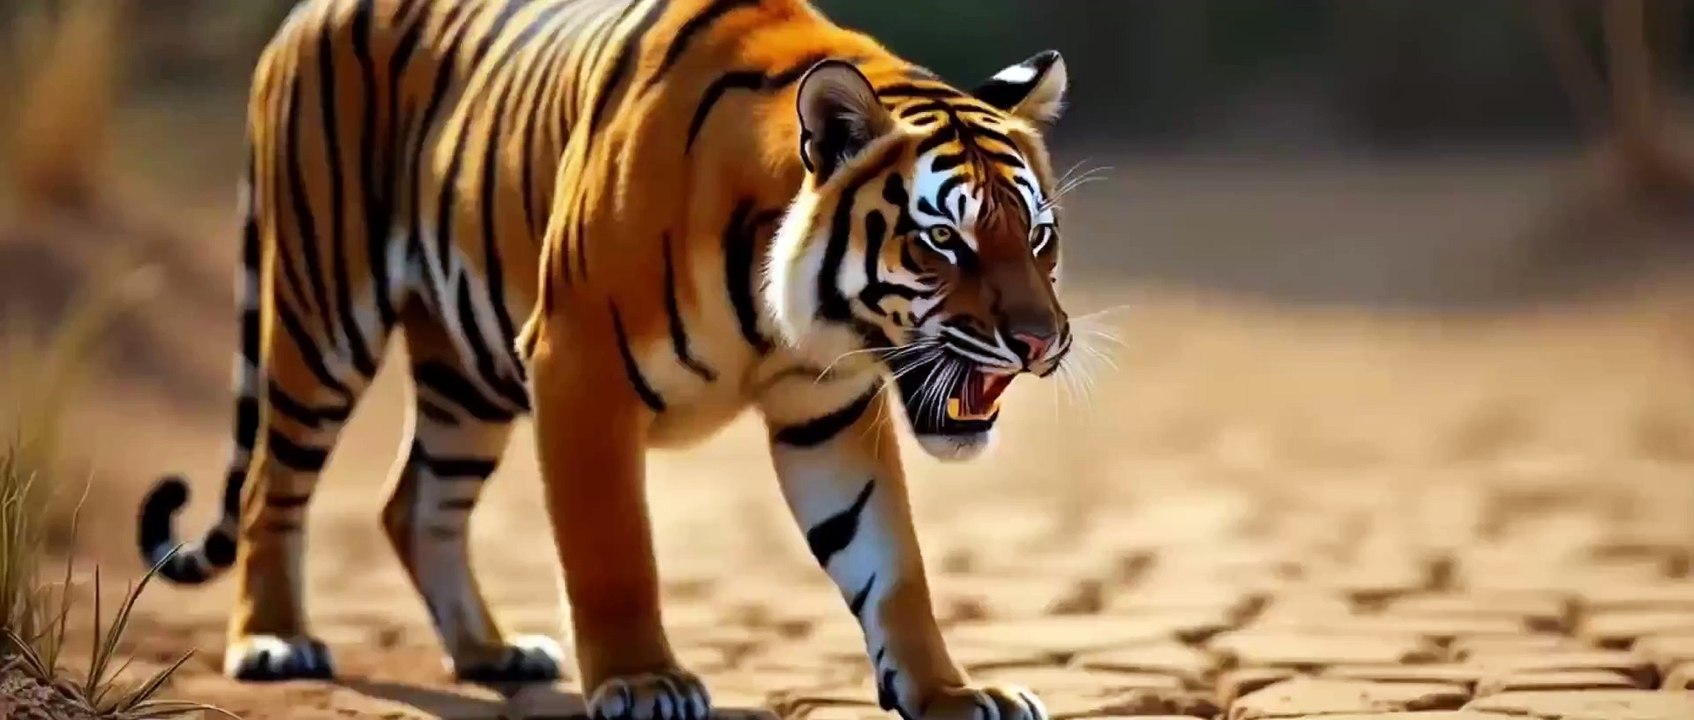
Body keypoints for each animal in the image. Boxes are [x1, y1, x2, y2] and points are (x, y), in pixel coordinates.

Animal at [132, 1, 1075, 718]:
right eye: (943, 242)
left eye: (1037, 237)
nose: (1042, 342)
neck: (786, 314)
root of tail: (302, 14)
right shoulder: (577, 364)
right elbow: (612, 547)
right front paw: (643, 681)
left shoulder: (828, 407)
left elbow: (890, 560)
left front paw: (951, 694)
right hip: (322, 314)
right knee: (272, 484)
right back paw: (274, 641)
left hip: (465, 373)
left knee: (417, 503)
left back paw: (492, 652)